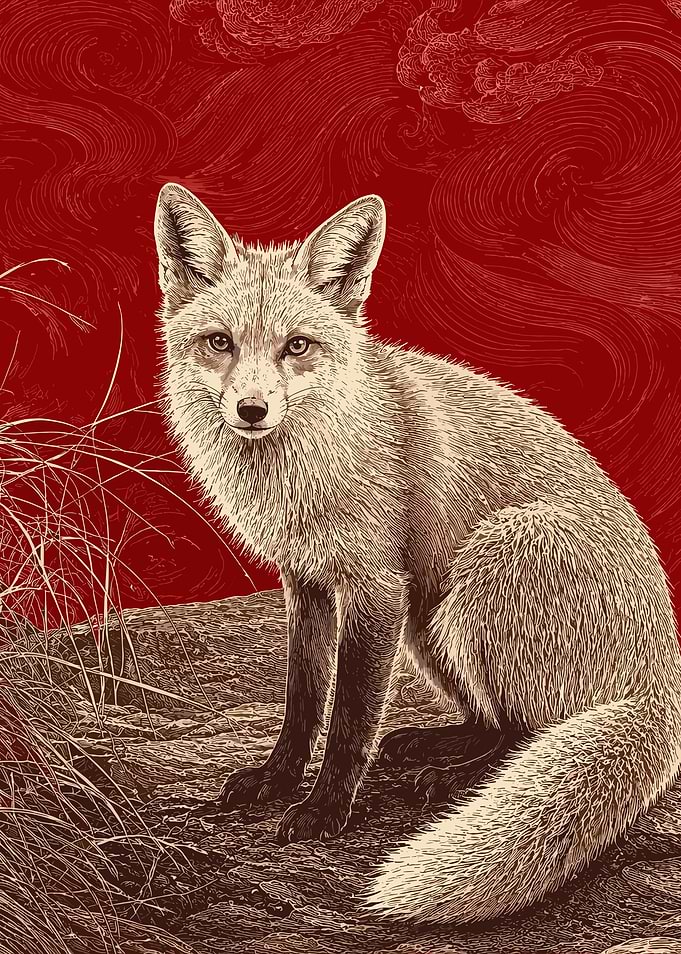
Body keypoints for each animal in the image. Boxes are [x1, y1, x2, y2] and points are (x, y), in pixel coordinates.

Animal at [153, 181, 681, 924]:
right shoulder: (307, 583)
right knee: (495, 720)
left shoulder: (374, 587)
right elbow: (303, 701)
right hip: (429, 623)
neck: (297, 474)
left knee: (527, 732)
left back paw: (449, 779)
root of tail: (663, 681)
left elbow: (349, 720)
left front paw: (323, 810)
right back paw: (436, 747)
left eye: (297, 347)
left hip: (485, 570)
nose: (252, 410)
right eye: (220, 343)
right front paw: (277, 780)